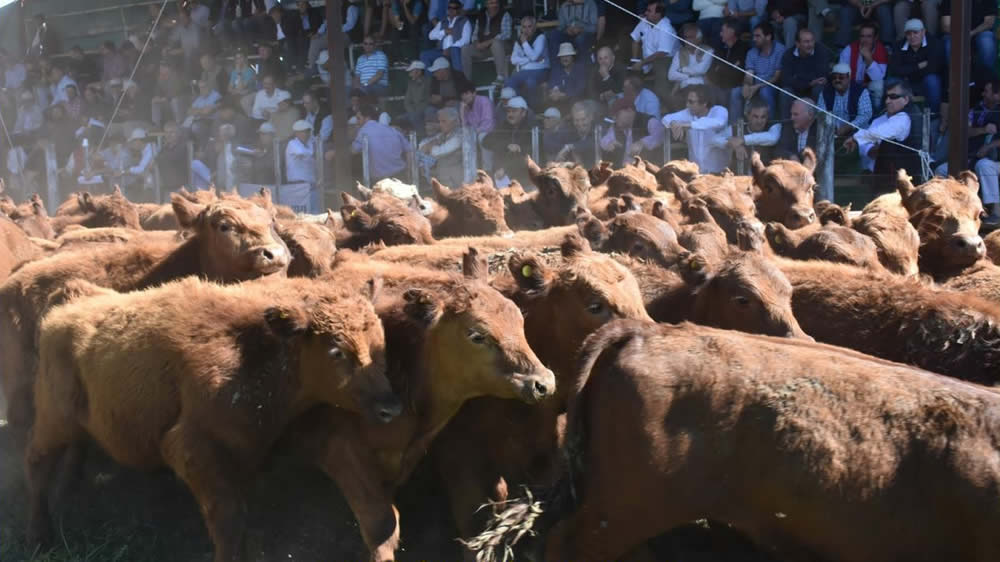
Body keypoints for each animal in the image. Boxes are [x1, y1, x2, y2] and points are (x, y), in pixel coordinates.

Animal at [26, 276, 398, 560]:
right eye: (337, 350)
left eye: (380, 343)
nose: (390, 407)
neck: (258, 358)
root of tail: (68, 305)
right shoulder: (193, 450)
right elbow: (230, 525)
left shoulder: (311, 436)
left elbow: (376, 513)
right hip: (53, 421)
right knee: (37, 466)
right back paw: (41, 536)